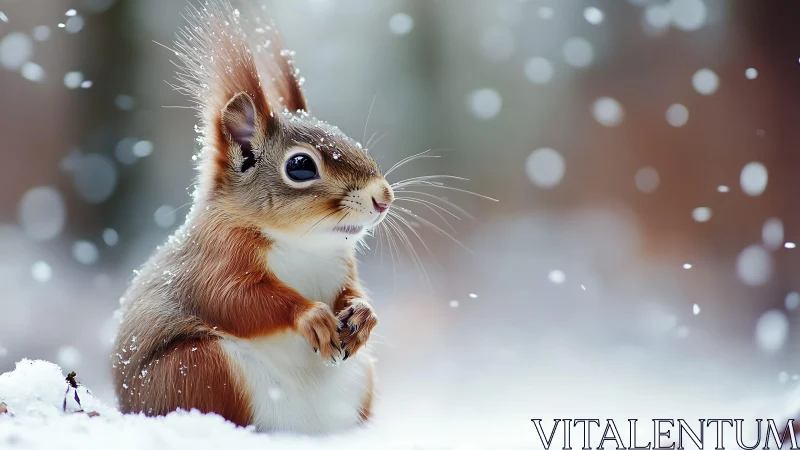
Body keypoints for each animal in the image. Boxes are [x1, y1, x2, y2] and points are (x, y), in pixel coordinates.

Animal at [111, 0, 391, 434]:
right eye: (300, 167)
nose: (383, 198)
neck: (305, 244)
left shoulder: (343, 266)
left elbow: (353, 290)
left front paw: (363, 314)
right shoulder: (215, 258)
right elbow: (234, 299)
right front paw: (310, 315)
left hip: (360, 378)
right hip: (199, 369)